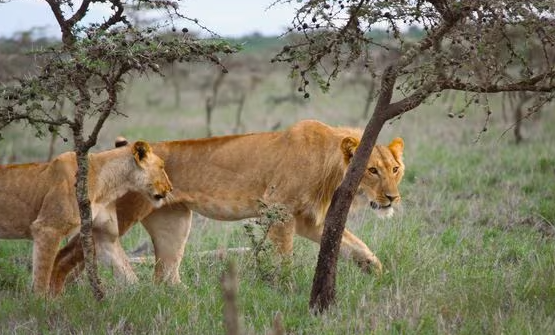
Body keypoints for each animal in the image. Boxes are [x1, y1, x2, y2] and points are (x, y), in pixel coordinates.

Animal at [0, 140, 173, 296]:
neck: (108, 184)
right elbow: (42, 275)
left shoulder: (104, 234)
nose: (171, 188)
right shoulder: (47, 228)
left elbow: (123, 268)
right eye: (161, 167)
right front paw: (41, 305)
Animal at [51, 121, 404, 294]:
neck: (330, 164)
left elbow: (352, 243)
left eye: (395, 169)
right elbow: (284, 258)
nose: (392, 198)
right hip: (125, 210)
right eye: (372, 170)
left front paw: (375, 269)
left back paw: (181, 296)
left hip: (174, 221)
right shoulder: (278, 209)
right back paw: (56, 295)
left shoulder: (306, 219)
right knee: (76, 250)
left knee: (164, 273)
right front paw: (287, 290)